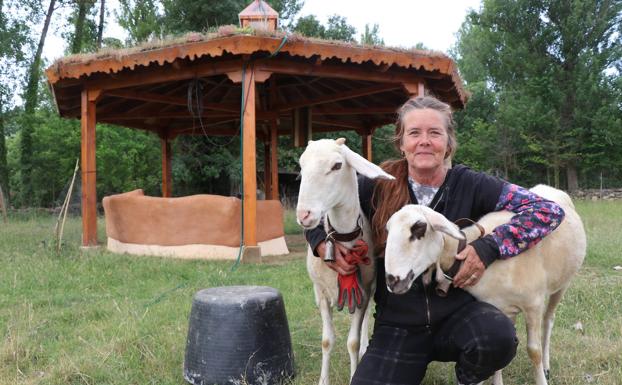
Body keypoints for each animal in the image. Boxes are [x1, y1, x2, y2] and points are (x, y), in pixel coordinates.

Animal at [298, 138, 394, 384]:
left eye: (337, 165)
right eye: (301, 166)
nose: (304, 215)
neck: (343, 238)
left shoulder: (362, 293)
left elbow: (352, 342)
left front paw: (354, 373)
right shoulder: (321, 294)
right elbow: (326, 341)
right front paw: (323, 380)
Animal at [386, 183, 584, 384]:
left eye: (419, 229)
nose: (392, 281)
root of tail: (548, 187)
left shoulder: (533, 304)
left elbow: (533, 351)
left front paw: (541, 378)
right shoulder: (497, 305)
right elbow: (499, 361)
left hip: (562, 284)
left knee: (548, 320)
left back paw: (546, 366)